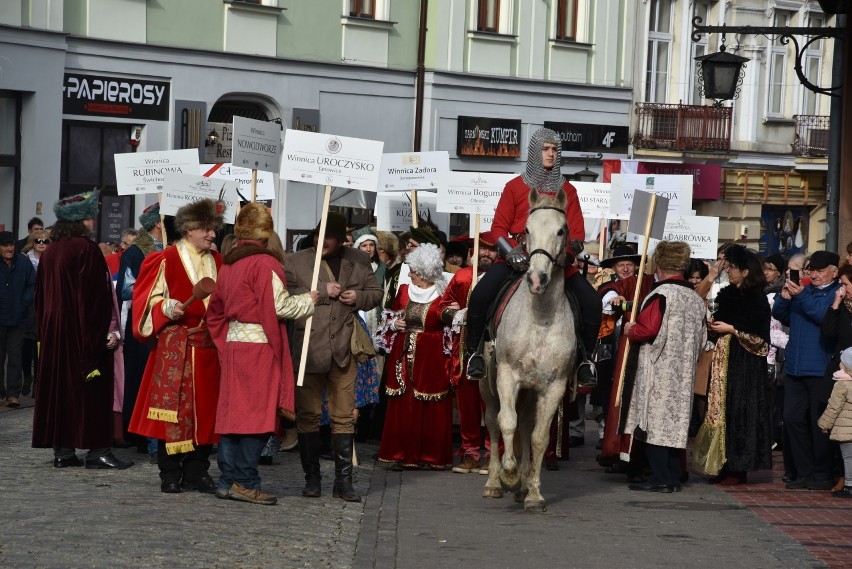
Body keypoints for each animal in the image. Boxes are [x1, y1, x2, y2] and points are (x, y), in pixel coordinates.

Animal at [480, 186, 580, 510]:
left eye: (561, 230)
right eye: (526, 230)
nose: (536, 278)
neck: (541, 317)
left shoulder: (554, 386)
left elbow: (538, 437)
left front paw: (533, 493)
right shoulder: (506, 376)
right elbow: (506, 422)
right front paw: (509, 475)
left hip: (529, 390)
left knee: (525, 426)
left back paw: (523, 486)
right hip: (486, 385)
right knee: (494, 423)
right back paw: (494, 482)